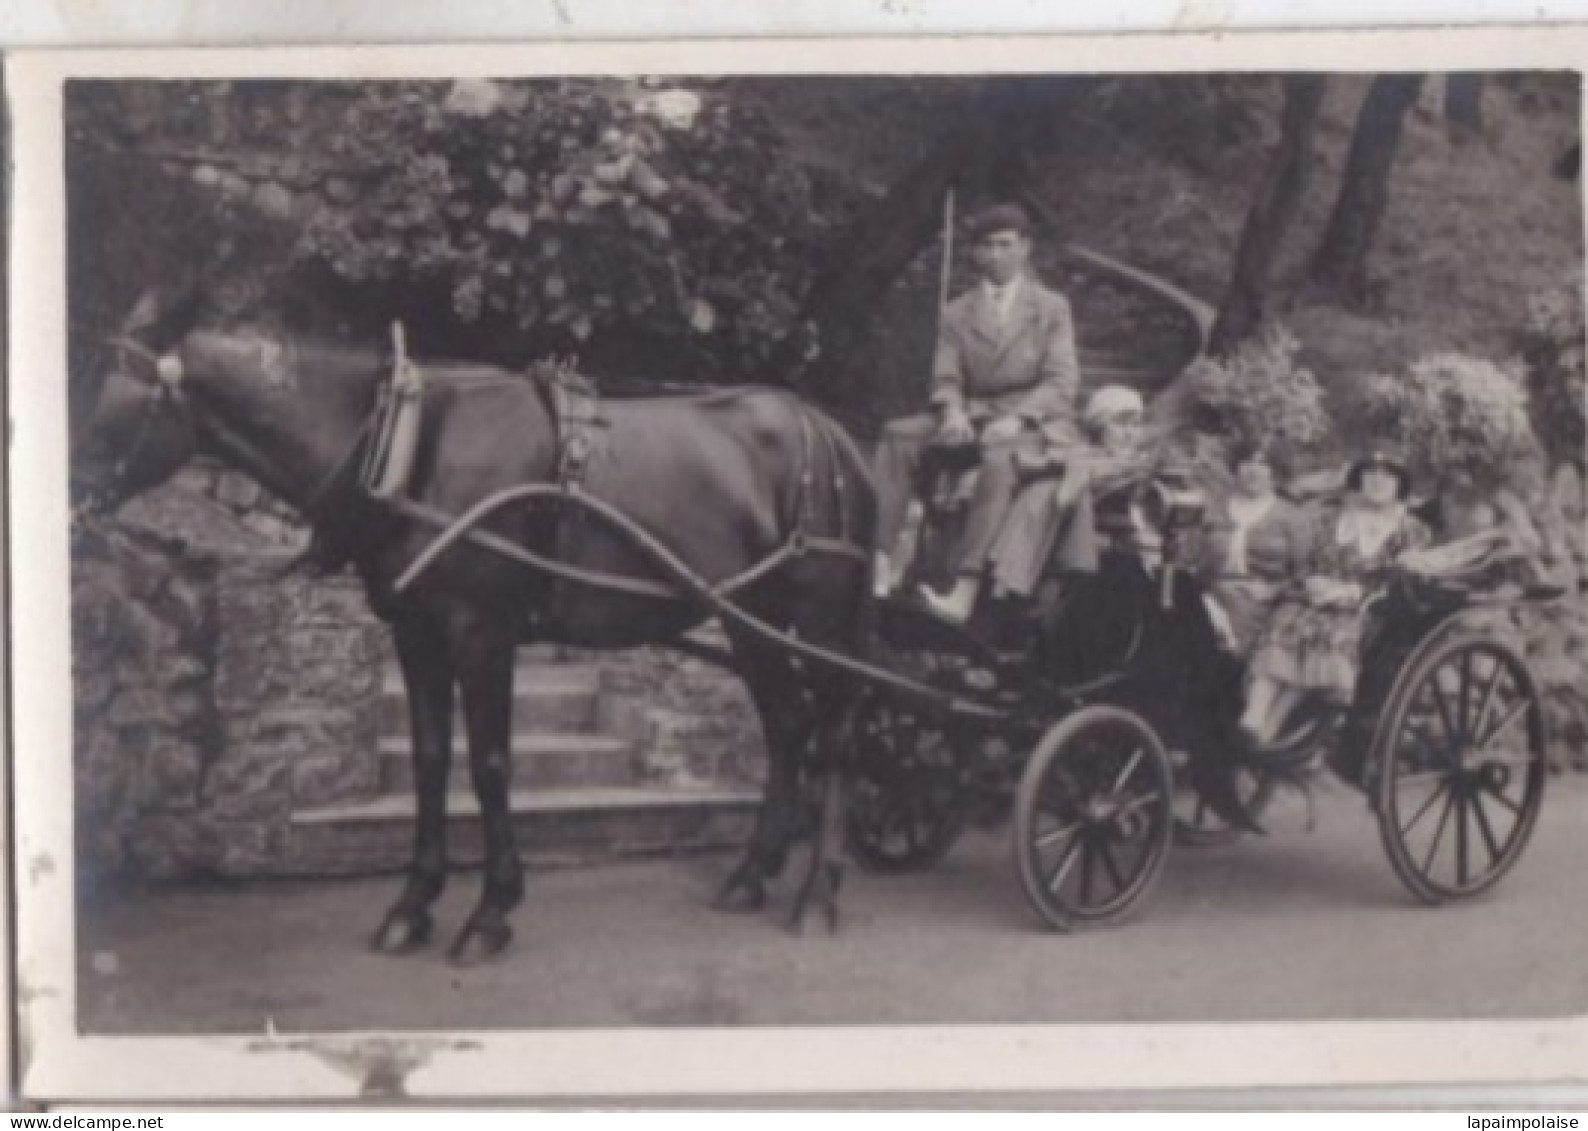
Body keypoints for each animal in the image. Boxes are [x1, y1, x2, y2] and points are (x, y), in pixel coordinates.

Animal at [77, 292, 882, 965]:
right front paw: (413, 903)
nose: (75, 504)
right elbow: (433, 758)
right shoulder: (416, 635)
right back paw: (751, 874)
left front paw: (491, 911)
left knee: (836, 739)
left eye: (115, 402)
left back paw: (817, 894)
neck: (407, 446)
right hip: (753, 620)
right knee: (788, 728)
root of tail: (833, 435)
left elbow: (491, 764)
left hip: (819, 622)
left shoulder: (481, 633)